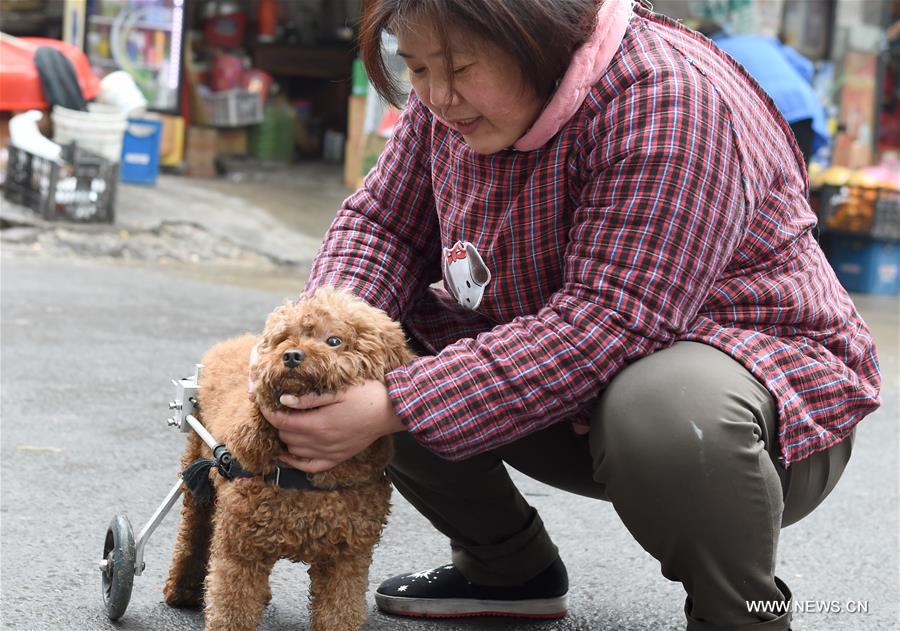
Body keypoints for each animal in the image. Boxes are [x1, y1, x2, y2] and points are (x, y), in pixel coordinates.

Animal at [163, 290, 414, 631]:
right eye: (284, 338)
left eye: (334, 340)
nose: (292, 355)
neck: (304, 476)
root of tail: (231, 342)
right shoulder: (239, 551)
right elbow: (232, 608)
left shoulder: (346, 560)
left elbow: (339, 611)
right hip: (197, 480)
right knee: (193, 534)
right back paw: (182, 590)